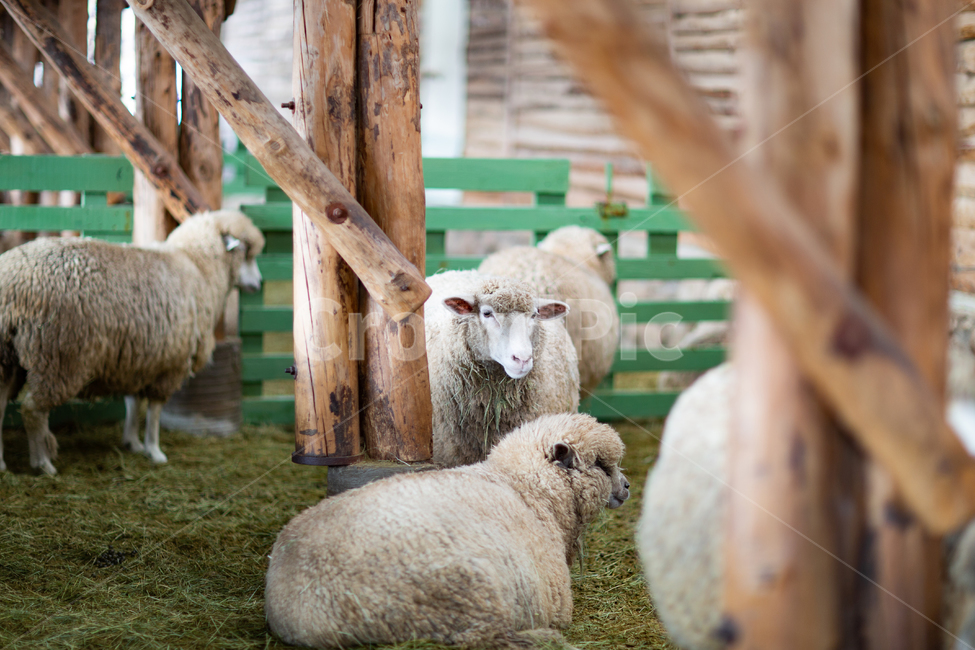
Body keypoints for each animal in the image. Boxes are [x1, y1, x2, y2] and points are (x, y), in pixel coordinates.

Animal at [0, 209, 265, 475]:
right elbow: (154, 411)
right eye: (246, 252)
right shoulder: (170, 364)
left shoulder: (137, 360)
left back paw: (2, 465)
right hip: (58, 355)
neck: (199, 268)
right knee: (33, 410)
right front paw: (155, 451)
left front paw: (132, 443)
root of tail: (11, 282)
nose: (260, 283)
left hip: (8, 359)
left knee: (1, 405)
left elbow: (133, 404)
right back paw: (43, 463)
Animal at [264, 412, 630, 650]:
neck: (528, 490)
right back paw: (544, 640)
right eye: (600, 465)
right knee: (475, 638)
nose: (627, 487)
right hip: (469, 594)